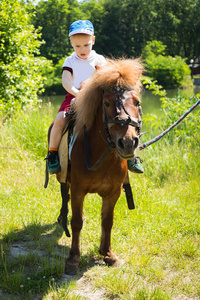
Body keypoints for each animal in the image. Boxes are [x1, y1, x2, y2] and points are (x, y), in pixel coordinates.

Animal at [55, 58, 145, 274]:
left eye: (137, 102)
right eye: (106, 103)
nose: (127, 143)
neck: (103, 157)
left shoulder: (113, 193)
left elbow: (107, 221)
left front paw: (107, 254)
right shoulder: (78, 190)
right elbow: (77, 222)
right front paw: (73, 259)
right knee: (65, 198)